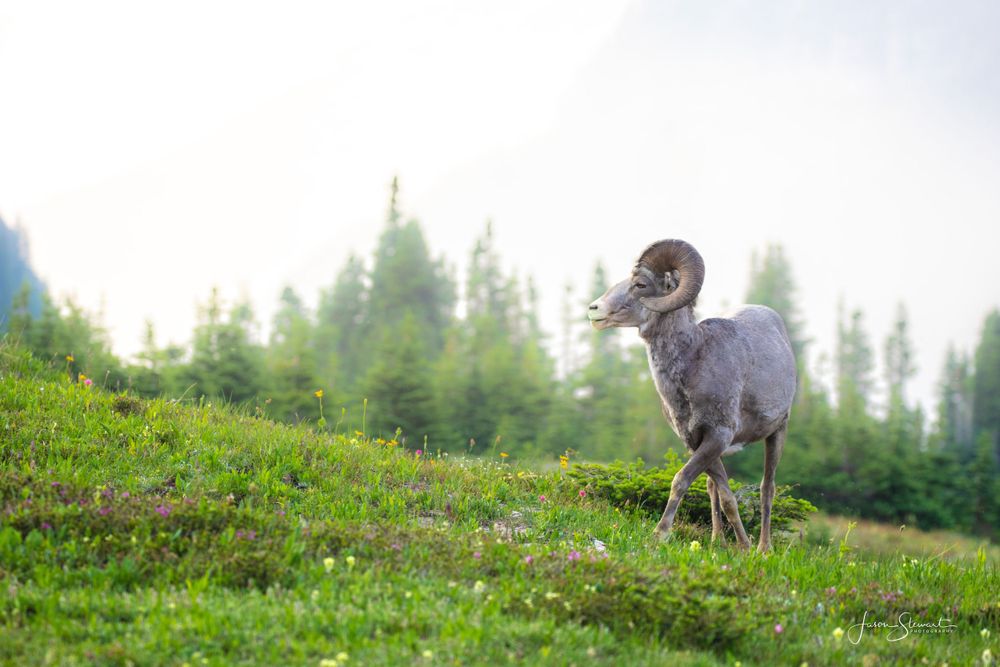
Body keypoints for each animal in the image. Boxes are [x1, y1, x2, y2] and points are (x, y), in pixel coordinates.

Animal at [588, 239, 796, 552]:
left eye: (640, 284)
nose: (594, 309)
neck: (693, 364)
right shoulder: (696, 441)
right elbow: (725, 496)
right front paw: (741, 546)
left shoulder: (718, 437)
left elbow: (681, 480)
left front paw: (660, 534)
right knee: (713, 489)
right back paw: (718, 540)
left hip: (777, 433)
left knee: (767, 488)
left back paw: (764, 548)